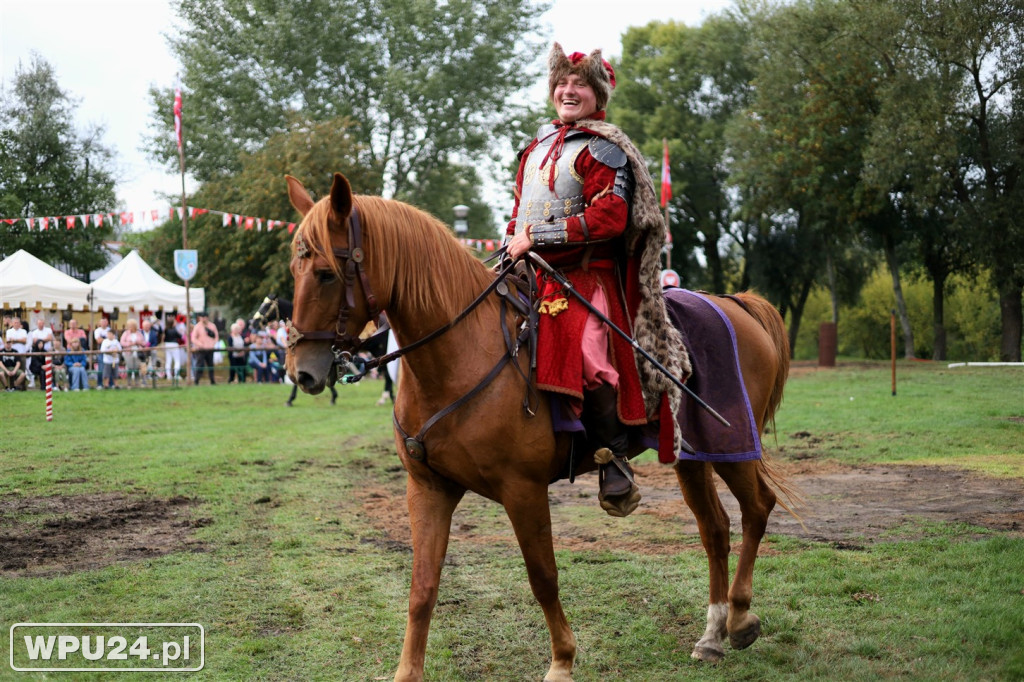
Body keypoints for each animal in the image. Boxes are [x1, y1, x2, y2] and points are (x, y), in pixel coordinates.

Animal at [284, 173, 794, 679]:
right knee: (715, 528)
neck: (460, 354)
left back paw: (741, 616)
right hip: (691, 454)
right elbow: (423, 587)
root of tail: (736, 304)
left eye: (326, 272)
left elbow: (543, 576)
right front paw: (408, 671)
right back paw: (712, 634)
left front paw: (562, 661)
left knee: (757, 508)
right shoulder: (427, 489)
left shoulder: (522, 489)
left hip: (729, 443)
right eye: (295, 269)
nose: (300, 371)